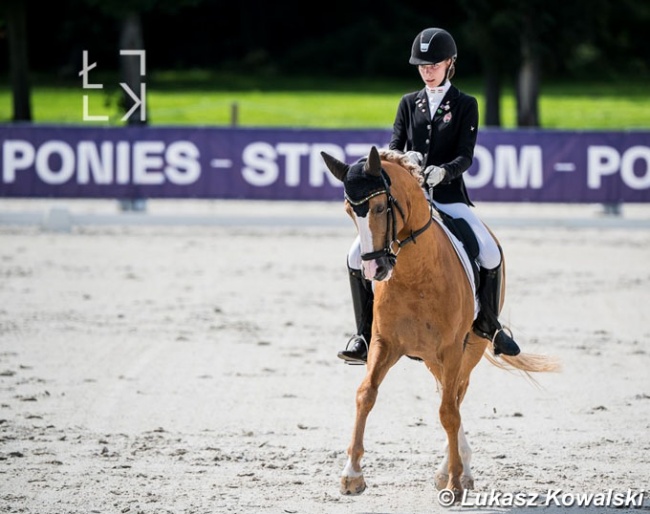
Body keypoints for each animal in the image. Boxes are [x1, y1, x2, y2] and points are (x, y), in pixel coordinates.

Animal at [322, 146, 556, 498]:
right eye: (350, 210)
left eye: (379, 207)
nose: (374, 270)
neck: (415, 272)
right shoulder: (383, 343)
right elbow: (366, 394)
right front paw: (352, 474)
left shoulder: (451, 348)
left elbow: (448, 411)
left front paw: (455, 481)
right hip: (432, 357)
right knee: (450, 394)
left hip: (469, 349)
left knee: (456, 396)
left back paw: (456, 468)